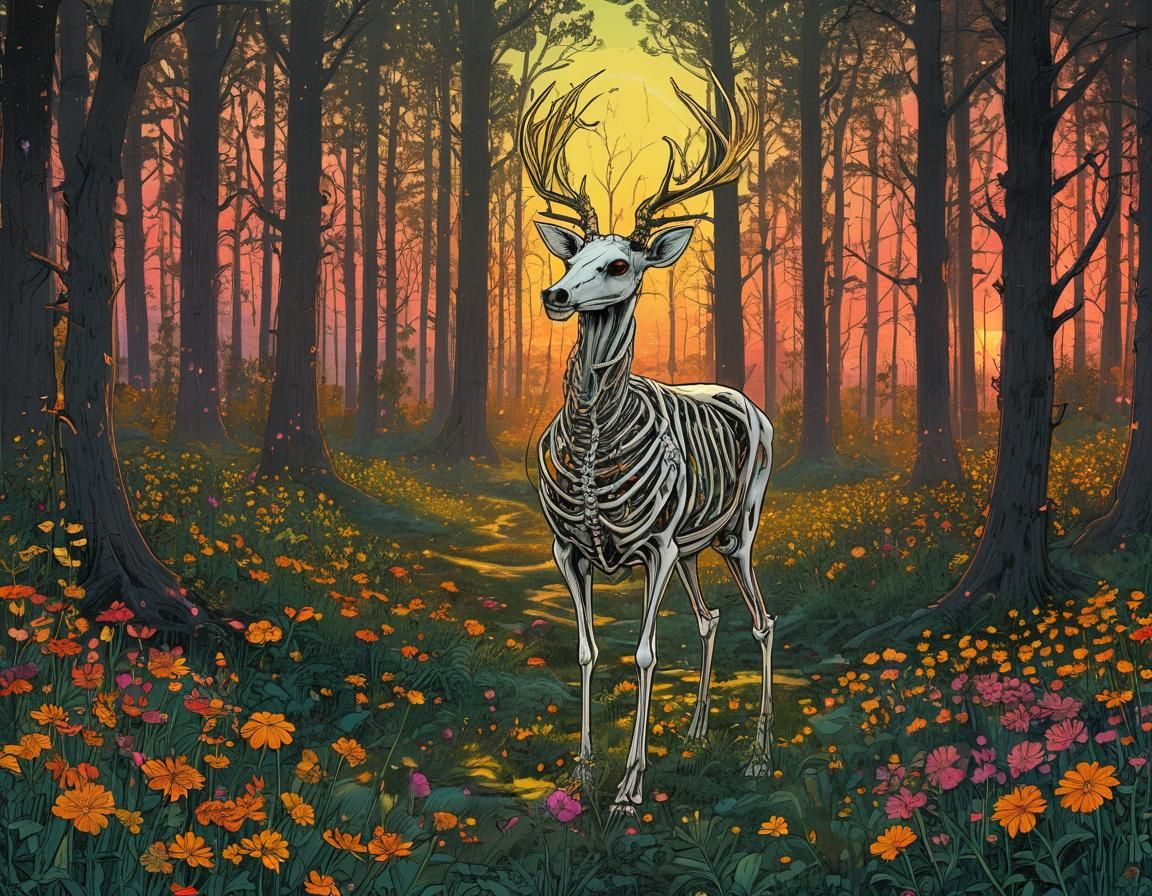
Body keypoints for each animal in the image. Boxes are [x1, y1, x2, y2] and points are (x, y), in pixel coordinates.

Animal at [520, 68, 776, 811]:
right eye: (574, 254)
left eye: (619, 266)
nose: (553, 295)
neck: (593, 444)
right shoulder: (568, 547)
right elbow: (587, 651)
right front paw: (581, 772)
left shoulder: (654, 545)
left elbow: (644, 652)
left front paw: (630, 787)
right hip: (693, 547)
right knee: (711, 618)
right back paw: (694, 733)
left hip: (739, 528)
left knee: (762, 621)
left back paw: (757, 755)